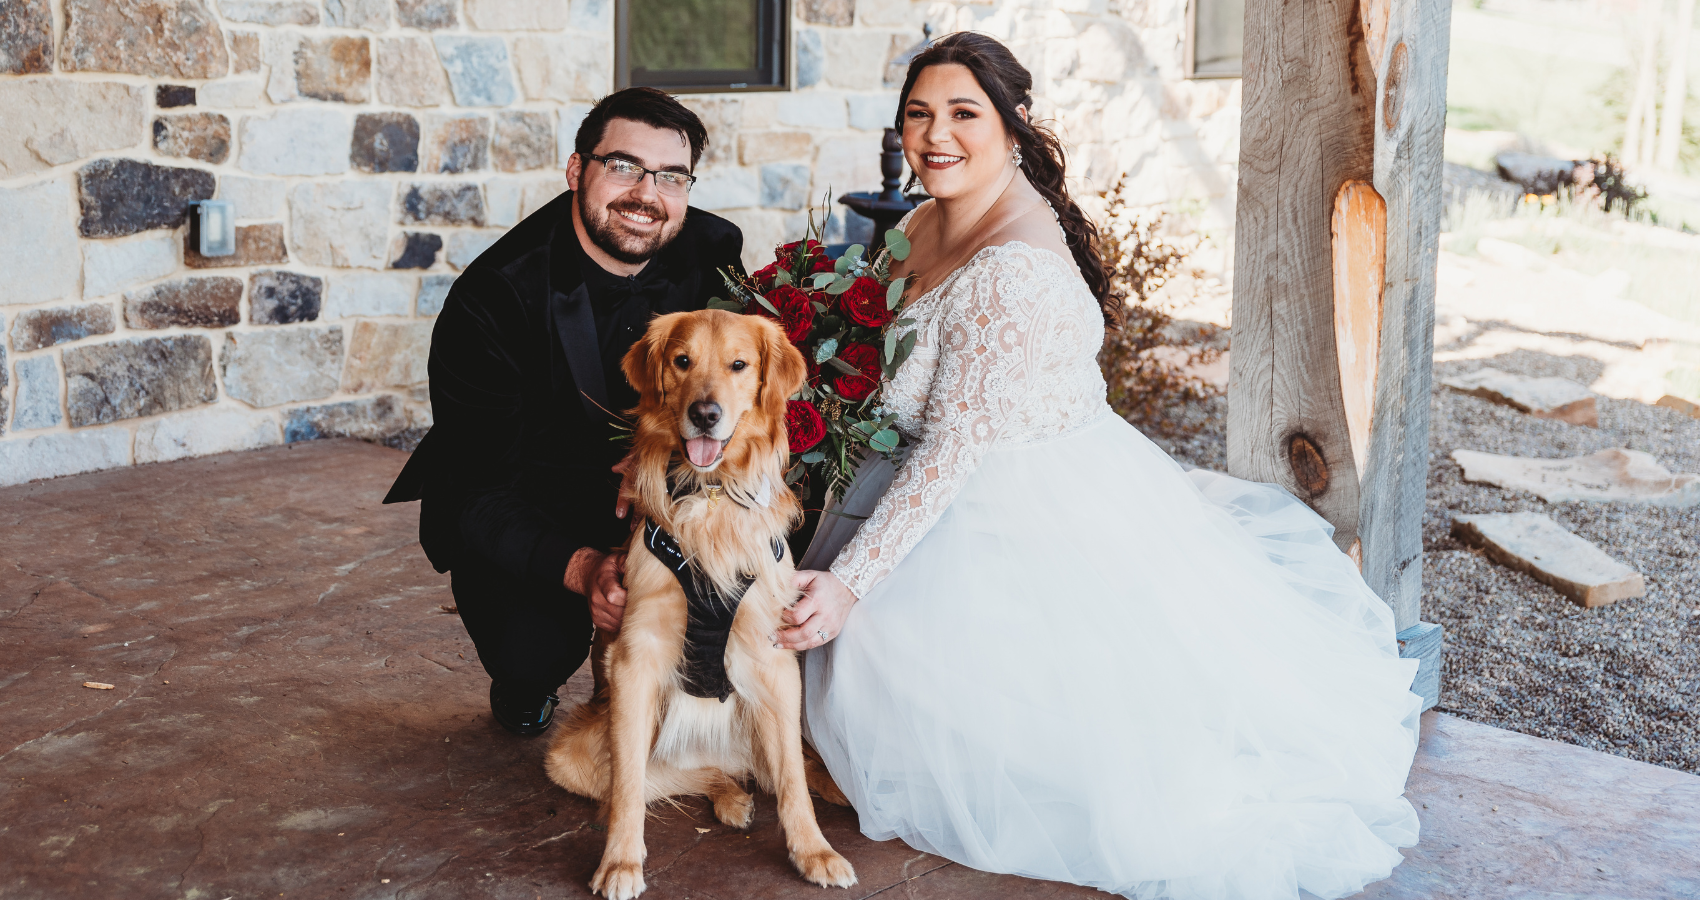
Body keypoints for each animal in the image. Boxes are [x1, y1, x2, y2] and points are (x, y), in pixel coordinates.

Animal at [544, 311, 856, 898]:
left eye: (739, 364)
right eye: (681, 361)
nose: (705, 415)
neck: (711, 495)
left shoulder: (773, 658)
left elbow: (793, 783)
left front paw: (815, 852)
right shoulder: (636, 657)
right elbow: (627, 789)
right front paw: (620, 863)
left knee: (783, 770)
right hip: (569, 756)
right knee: (672, 776)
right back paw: (731, 797)